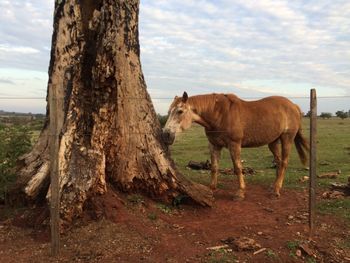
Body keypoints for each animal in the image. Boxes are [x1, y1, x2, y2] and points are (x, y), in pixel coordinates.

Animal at [163, 92, 308, 199]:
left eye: (180, 111)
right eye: (169, 111)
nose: (166, 134)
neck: (220, 114)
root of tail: (294, 106)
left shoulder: (234, 145)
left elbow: (238, 168)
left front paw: (240, 192)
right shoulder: (214, 145)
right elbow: (214, 167)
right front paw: (211, 189)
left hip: (286, 139)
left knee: (283, 162)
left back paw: (277, 189)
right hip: (273, 142)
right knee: (278, 161)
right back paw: (274, 186)